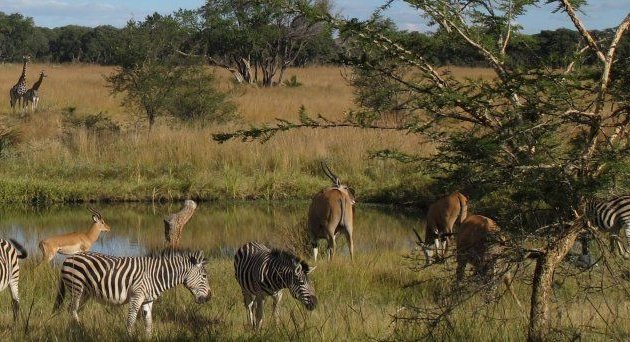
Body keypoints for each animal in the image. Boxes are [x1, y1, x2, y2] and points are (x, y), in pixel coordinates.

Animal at [53, 250, 211, 336]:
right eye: (204, 276)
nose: (209, 297)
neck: (156, 276)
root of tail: (69, 257)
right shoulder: (137, 296)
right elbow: (131, 320)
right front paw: (129, 336)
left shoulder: (148, 300)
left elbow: (148, 321)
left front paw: (149, 337)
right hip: (76, 287)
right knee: (72, 308)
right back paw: (78, 328)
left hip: (85, 292)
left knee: (72, 309)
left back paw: (78, 328)